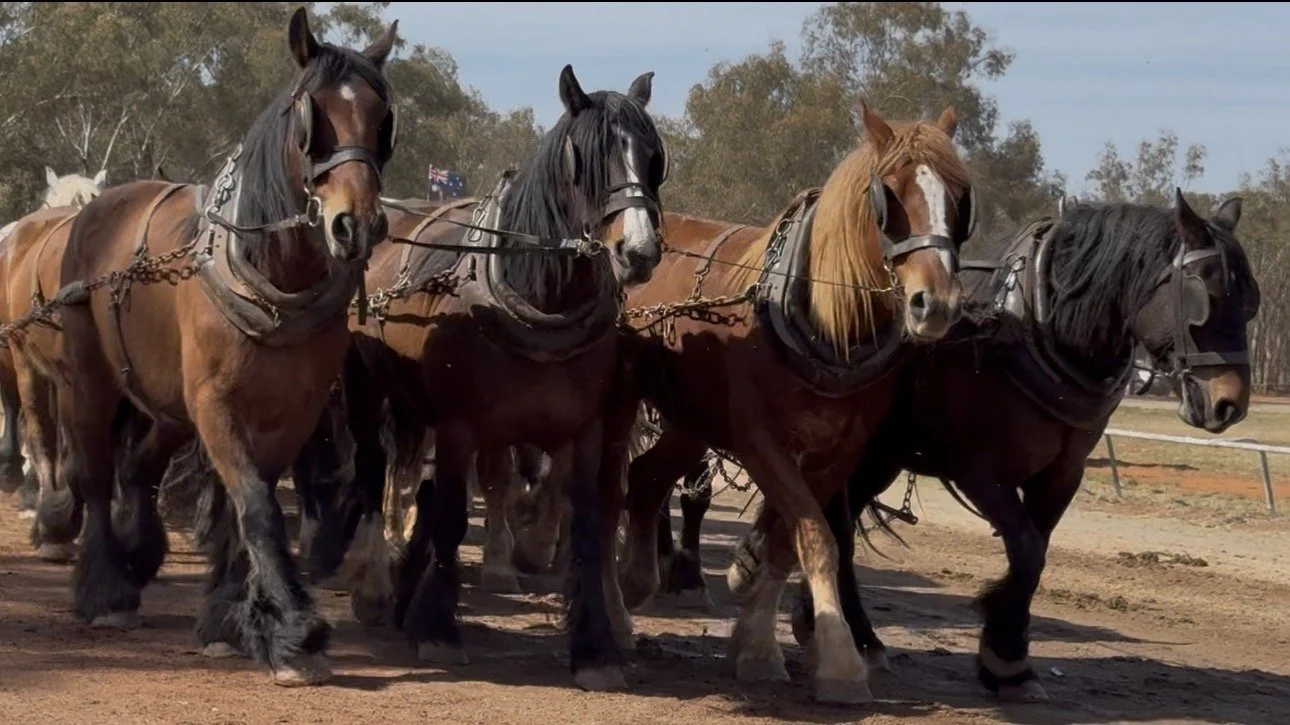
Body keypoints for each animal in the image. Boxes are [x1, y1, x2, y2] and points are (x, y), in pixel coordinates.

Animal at [0, 8, 400, 686]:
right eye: (310, 116)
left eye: (381, 118)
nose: (358, 225)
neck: (272, 282)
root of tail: (87, 216)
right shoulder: (217, 406)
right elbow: (258, 508)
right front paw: (296, 634)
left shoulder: (291, 413)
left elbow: (247, 508)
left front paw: (231, 618)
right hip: (87, 384)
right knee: (94, 471)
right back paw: (106, 588)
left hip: (164, 402)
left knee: (136, 469)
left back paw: (138, 553)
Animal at [312, 63, 666, 691]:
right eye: (586, 159)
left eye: (653, 157)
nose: (639, 250)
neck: (538, 300)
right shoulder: (460, 427)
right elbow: (452, 513)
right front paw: (437, 629)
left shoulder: (585, 432)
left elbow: (588, 527)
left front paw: (596, 647)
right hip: (364, 388)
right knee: (376, 473)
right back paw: (375, 584)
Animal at [612, 102, 977, 705]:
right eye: (889, 196)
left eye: (961, 198)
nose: (938, 303)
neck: (826, 324)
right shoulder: (762, 441)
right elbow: (815, 536)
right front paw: (838, 660)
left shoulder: (839, 454)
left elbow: (790, 543)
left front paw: (757, 641)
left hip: (693, 419)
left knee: (645, 479)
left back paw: (639, 578)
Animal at [729, 189, 1261, 703]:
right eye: (1206, 295)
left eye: (1251, 302)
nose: (1229, 404)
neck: (1039, 330)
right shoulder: (981, 472)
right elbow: (1025, 549)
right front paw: (1005, 659)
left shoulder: (1063, 474)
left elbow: (1037, 550)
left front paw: (1009, 653)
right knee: (838, 524)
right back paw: (855, 636)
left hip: (877, 457)